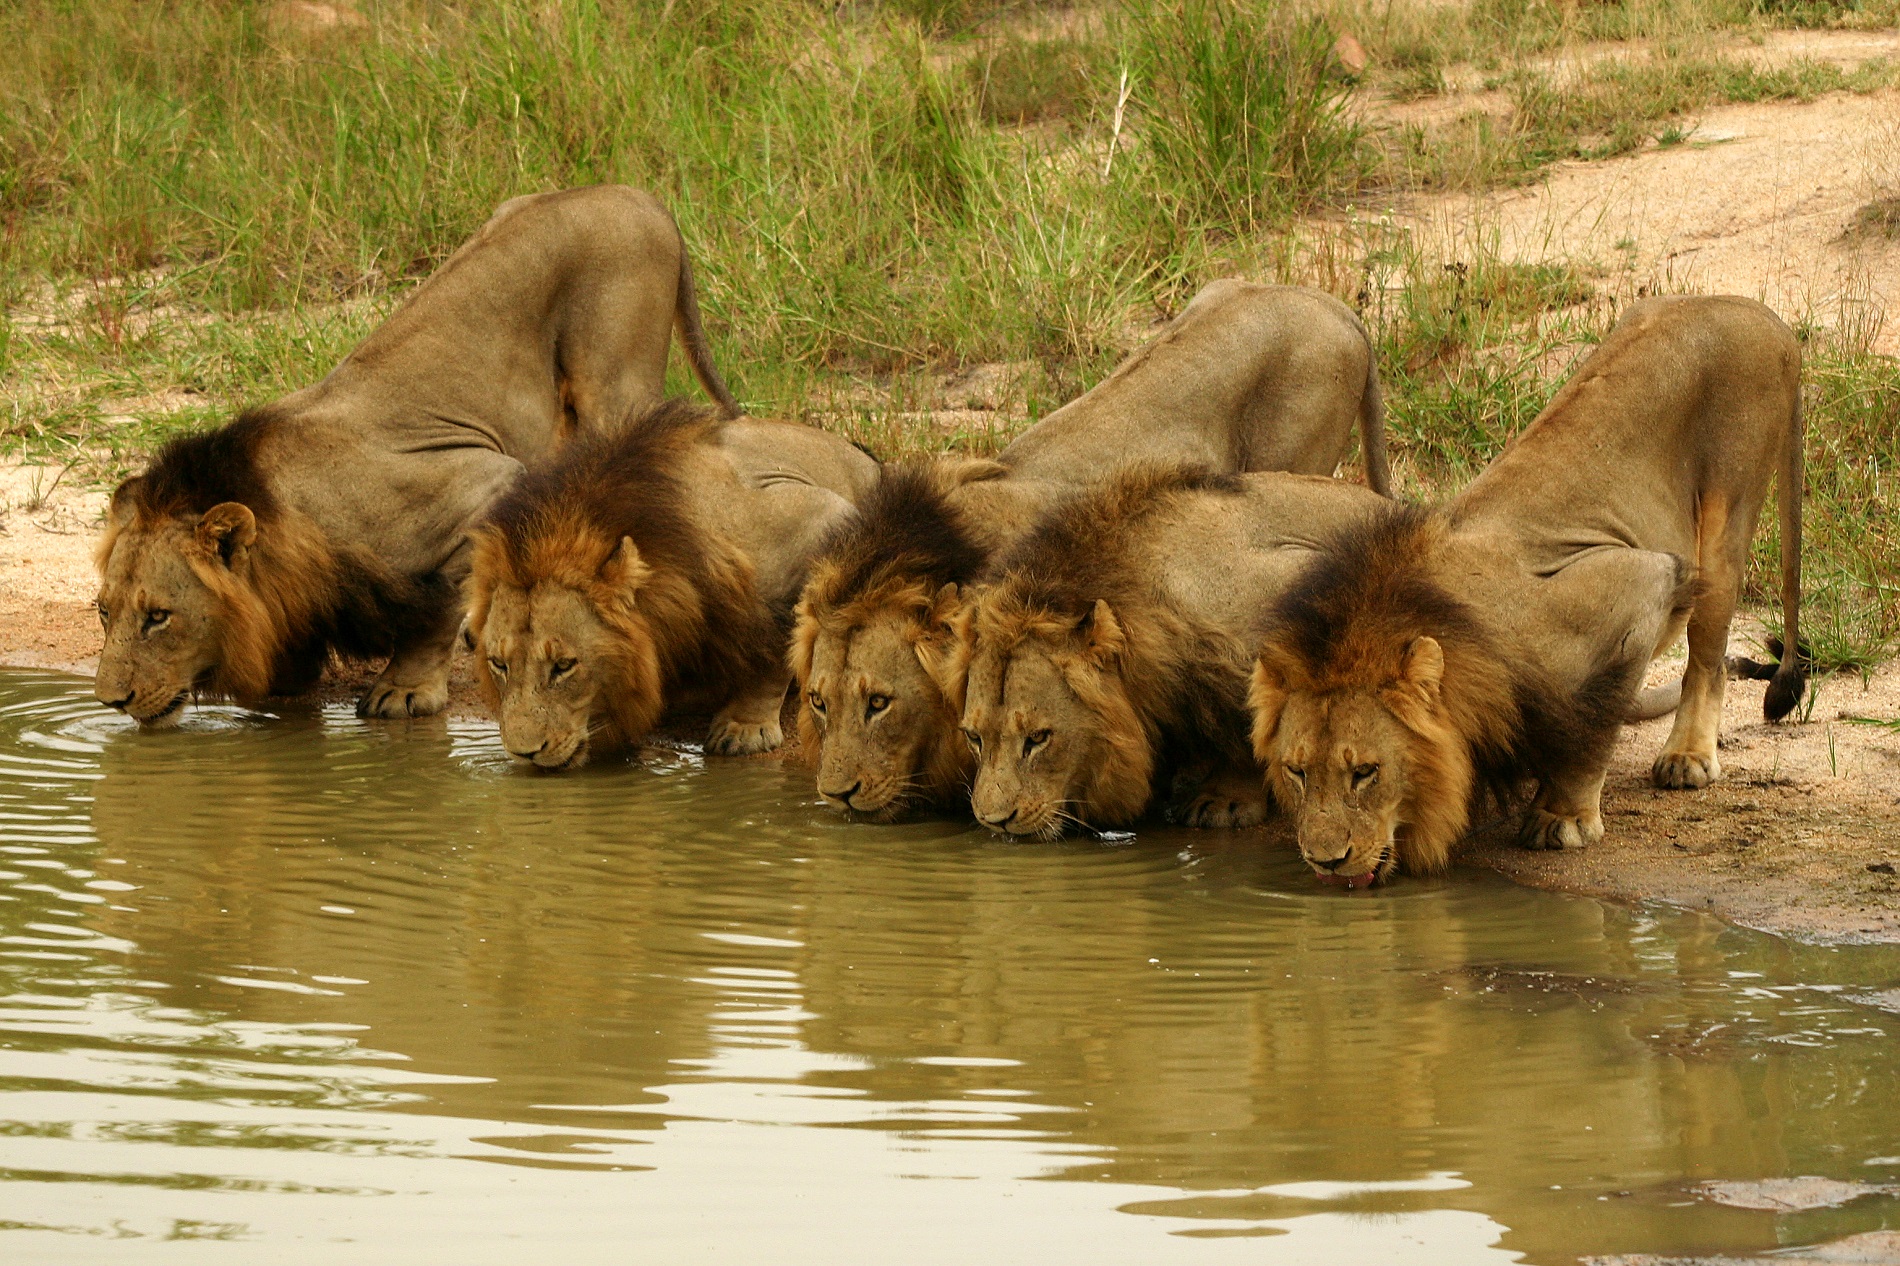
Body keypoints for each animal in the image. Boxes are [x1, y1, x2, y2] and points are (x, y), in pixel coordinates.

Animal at [92, 182, 737, 726]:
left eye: (158, 616)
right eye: (104, 611)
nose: (110, 701)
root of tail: (637, 195)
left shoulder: (486, 481)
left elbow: (433, 611)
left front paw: (403, 690)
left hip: (613, 382)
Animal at [463, 401, 877, 767]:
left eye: (564, 665)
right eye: (499, 664)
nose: (524, 753)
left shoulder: (821, 516)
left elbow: (774, 641)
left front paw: (744, 727)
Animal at [942, 458, 1390, 832]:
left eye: (1038, 738)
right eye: (974, 737)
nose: (994, 821)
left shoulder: (1290, 584)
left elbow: (1254, 723)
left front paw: (1225, 800)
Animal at [1254, 296, 1801, 885]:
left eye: (1365, 772)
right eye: (1297, 771)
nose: (1325, 861)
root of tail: (1753, 310)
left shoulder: (1642, 584)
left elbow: (1592, 732)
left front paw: (1562, 817)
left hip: (1725, 519)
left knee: (1707, 659)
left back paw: (1687, 758)